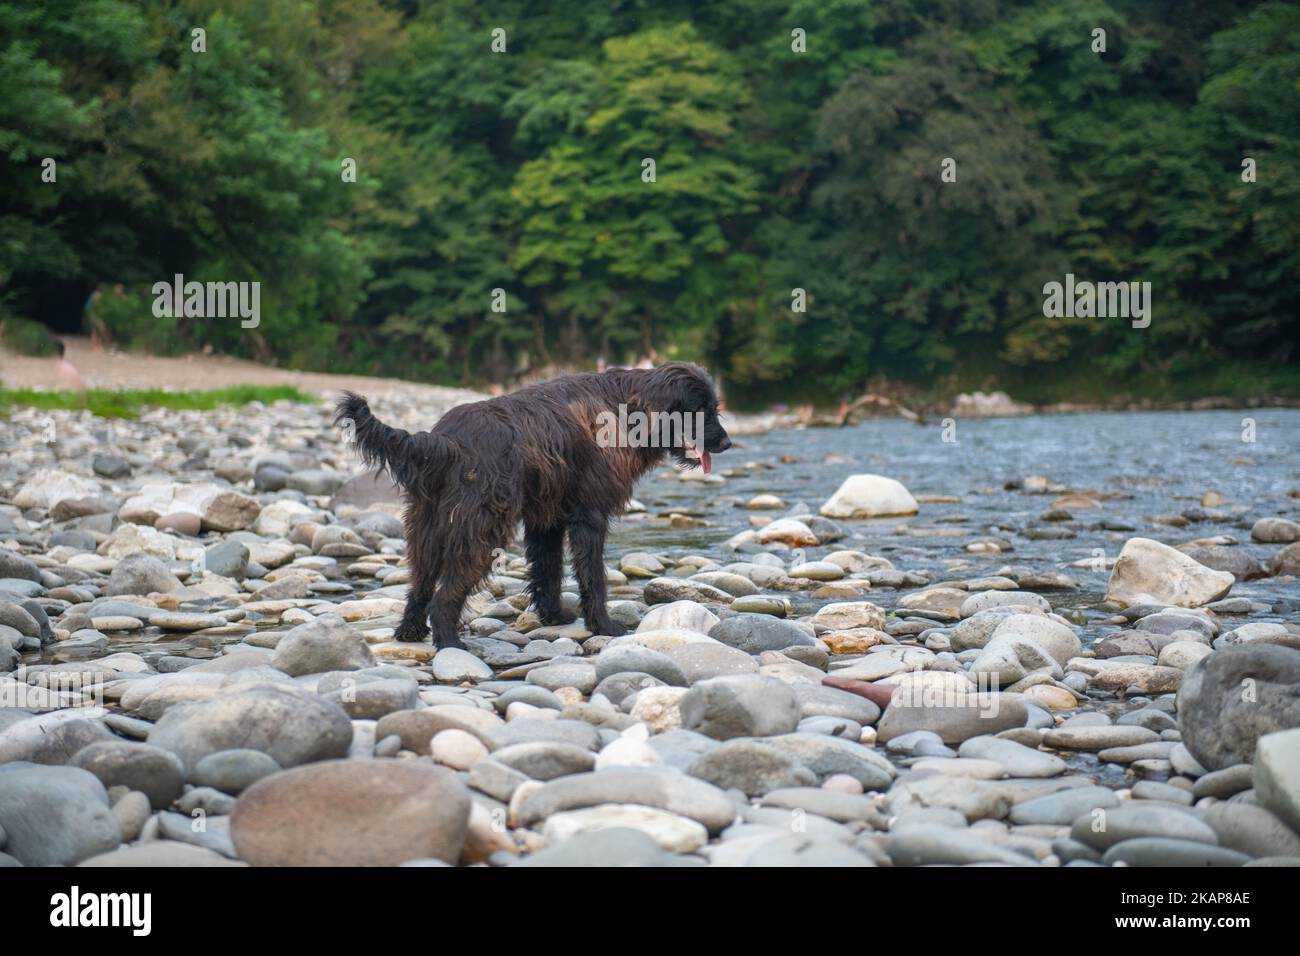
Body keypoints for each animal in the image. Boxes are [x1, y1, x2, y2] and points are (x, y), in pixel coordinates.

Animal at [335, 361, 733, 647]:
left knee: (420, 586)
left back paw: (409, 631)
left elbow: (547, 571)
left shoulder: (548, 519)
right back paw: (450, 644)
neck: (627, 409)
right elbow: (593, 577)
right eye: (700, 409)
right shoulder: (589, 516)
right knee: (444, 597)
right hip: (479, 532)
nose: (728, 443)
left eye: (715, 407)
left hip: (428, 529)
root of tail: (444, 440)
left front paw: (554, 616)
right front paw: (604, 625)